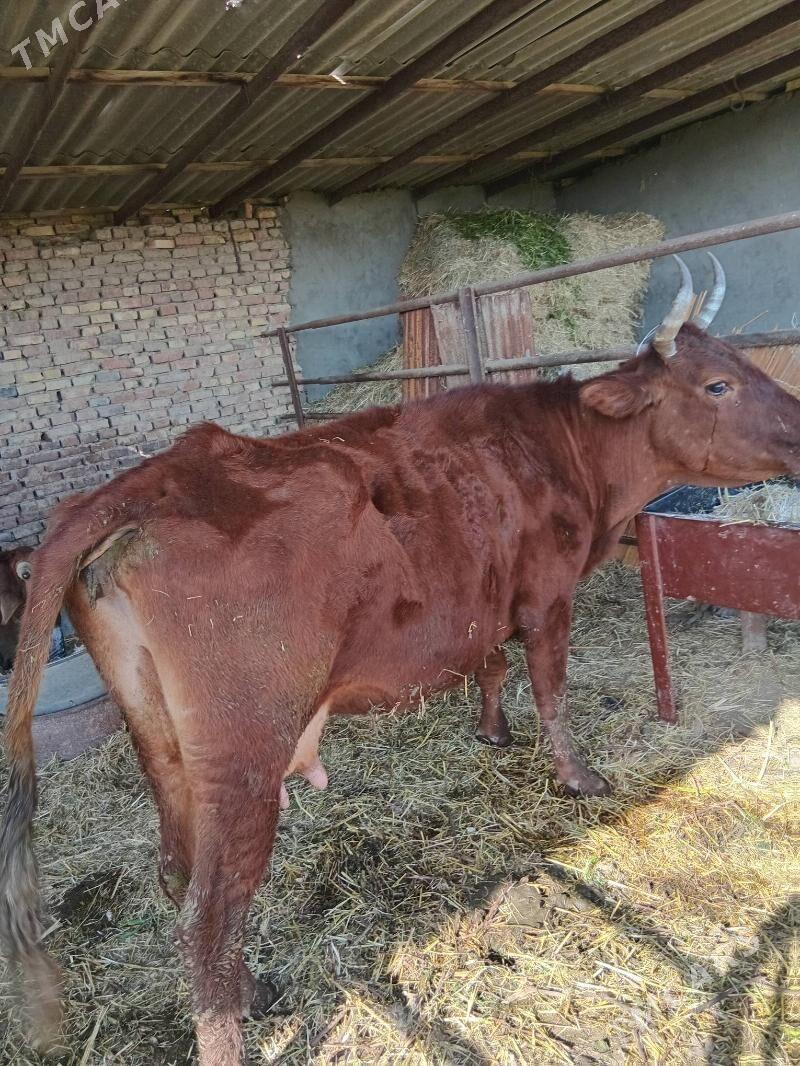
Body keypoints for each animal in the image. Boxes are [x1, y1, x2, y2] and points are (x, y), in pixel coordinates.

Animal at [2, 254, 799, 1065]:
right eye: (718, 385)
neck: (566, 450)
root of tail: (133, 487)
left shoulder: (489, 594)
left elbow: (492, 663)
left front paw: (491, 731)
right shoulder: (548, 592)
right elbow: (551, 688)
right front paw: (579, 778)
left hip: (158, 732)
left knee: (177, 870)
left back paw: (251, 985)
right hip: (245, 744)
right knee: (209, 916)